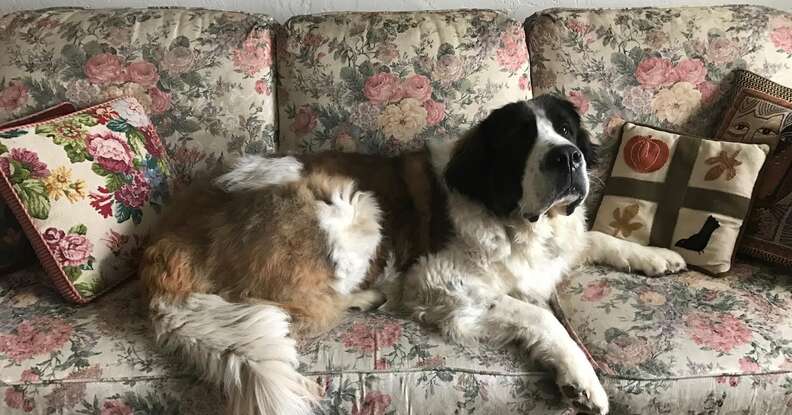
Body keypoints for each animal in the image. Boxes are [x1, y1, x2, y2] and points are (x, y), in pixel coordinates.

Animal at [142, 96, 688, 415]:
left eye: (568, 131)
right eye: (520, 140)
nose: (567, 157)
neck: (510, 217)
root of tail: (168, 238)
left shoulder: (559, 242)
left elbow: (594, 238)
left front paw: (655, 255)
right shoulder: (437, 281)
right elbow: (539, 315)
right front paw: (582, 379)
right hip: (351, 203)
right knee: (303, 306)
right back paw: (368, 297)